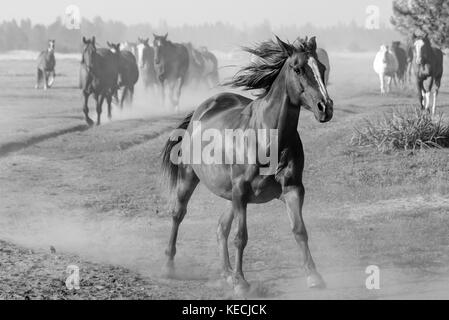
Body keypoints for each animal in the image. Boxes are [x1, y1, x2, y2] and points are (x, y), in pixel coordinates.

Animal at [159, 36, 330, 294]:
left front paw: (314, 276)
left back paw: (227, 274)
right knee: (178, 214)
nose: (325, 107)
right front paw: (241, 282)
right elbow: (241, 237)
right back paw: (170, 266)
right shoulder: (241, 191)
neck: (267, 137)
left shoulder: (292, 189)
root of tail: (202, 109)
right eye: (298, 69)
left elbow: (299, 230)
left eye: (322, 68)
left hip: (232, 196)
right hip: (191, 178)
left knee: (221, 228)